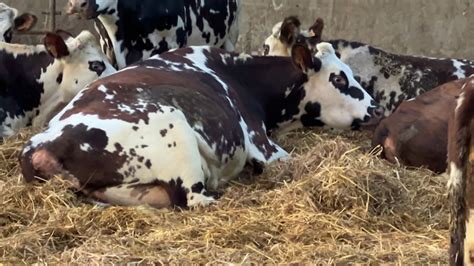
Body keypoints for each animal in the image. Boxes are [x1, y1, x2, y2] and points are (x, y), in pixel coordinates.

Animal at [19, 42, 386, 208]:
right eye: (340, 78)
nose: (377, 108)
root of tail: (40, 146)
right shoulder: (263, 144)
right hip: (174, 131)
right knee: (197, 198)